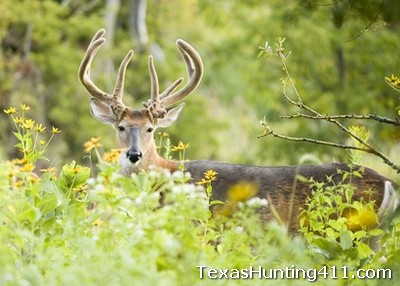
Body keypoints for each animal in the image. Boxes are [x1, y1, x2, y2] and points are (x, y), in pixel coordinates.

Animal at [78, 29, 396, 233]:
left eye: (150, 129)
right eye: (121, 127)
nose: (134, 154)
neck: (166, 180)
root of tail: (389, 184)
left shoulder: (203, 231)